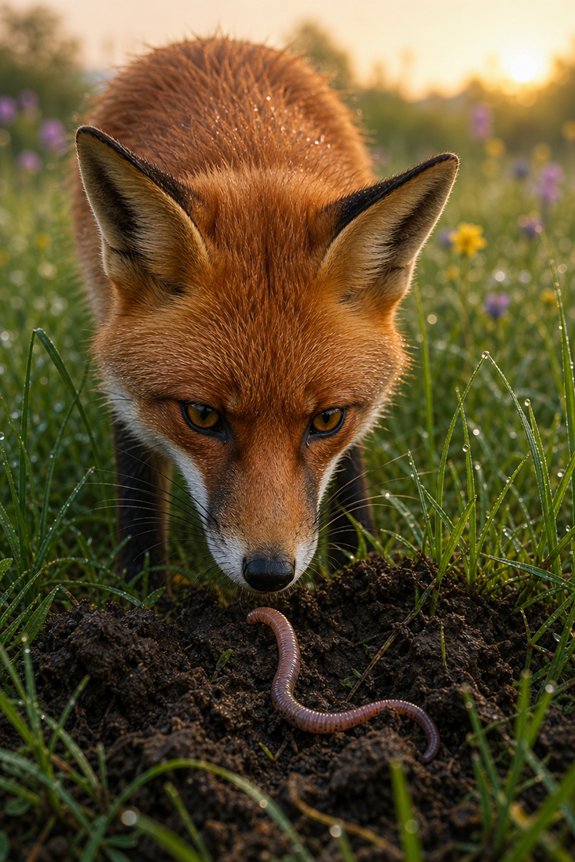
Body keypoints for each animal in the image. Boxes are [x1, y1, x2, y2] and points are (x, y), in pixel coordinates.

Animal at [71, 37, 458, 593]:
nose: (270, 574)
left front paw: (361, 566)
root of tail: (214, 39)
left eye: (327, 419)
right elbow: (138, 489)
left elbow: (351, 468)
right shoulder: (122, 373)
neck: (251, 148)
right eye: (202, 415)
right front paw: (143, 589)